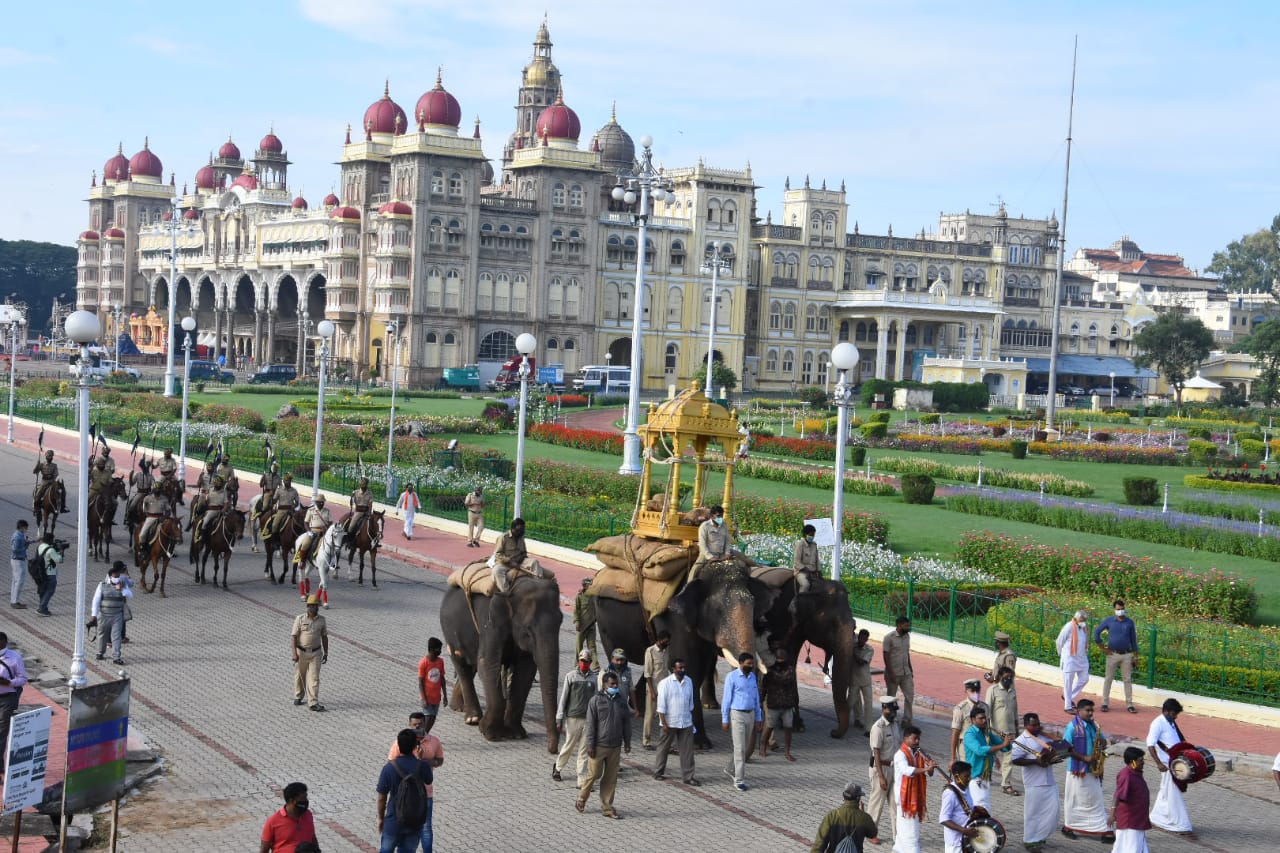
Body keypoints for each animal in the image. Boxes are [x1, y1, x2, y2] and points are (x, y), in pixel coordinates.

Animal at [440, 563, 560, 753]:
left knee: (472, 664)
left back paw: (458, 707)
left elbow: (526, 671)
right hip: (450, 630)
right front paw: (490, 734)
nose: (553, 750)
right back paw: (472, 718)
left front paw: (516, 734)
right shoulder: (491, 623)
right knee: (462, 663)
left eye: (561, 621)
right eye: (527, 630)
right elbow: (487, 662)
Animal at [591, 558, 778, 742]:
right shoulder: (675, 619)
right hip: (605, 625)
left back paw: (643, 709)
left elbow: (703, 665)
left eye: (753, 606)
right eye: (717, 610)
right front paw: (700, 743)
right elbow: (690, 665)